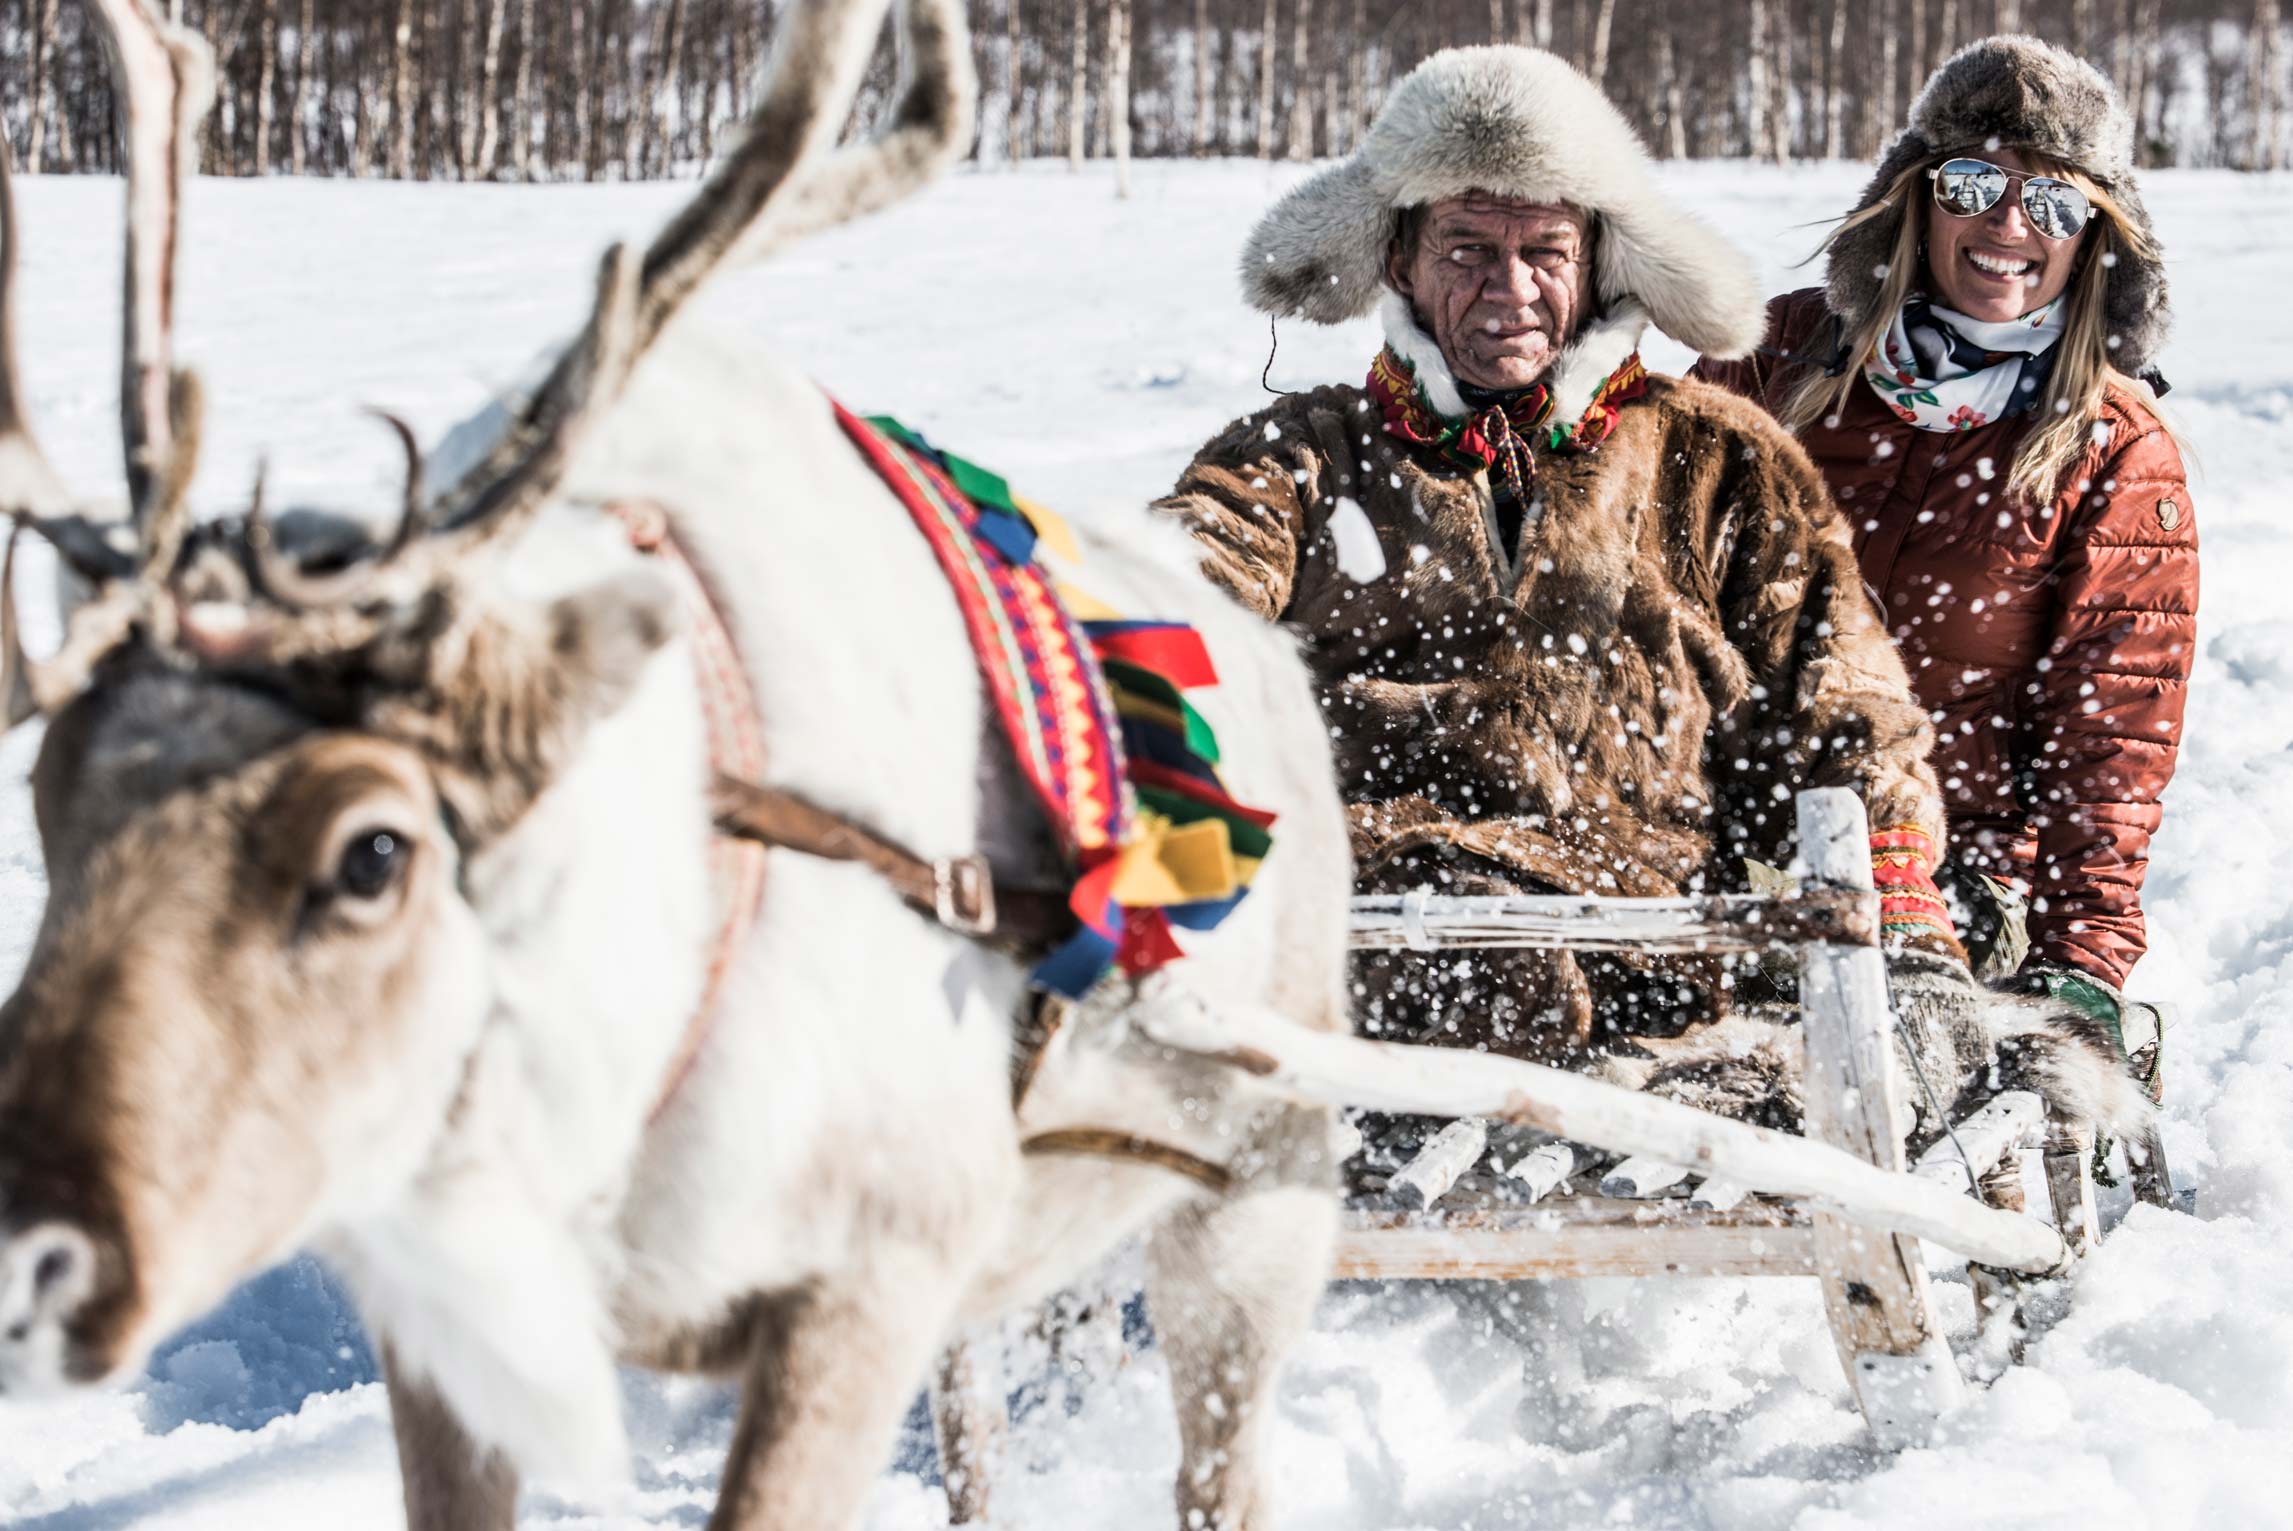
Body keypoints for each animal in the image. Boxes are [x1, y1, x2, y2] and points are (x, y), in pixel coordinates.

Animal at [0, 1, 1356, 1527]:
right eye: (45, 795)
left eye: (373, 849)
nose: (33, 1262)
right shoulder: (446, 1323)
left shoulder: (868, 1273)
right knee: (981, 1431)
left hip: (1255, 1206)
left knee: (1219, 1462)